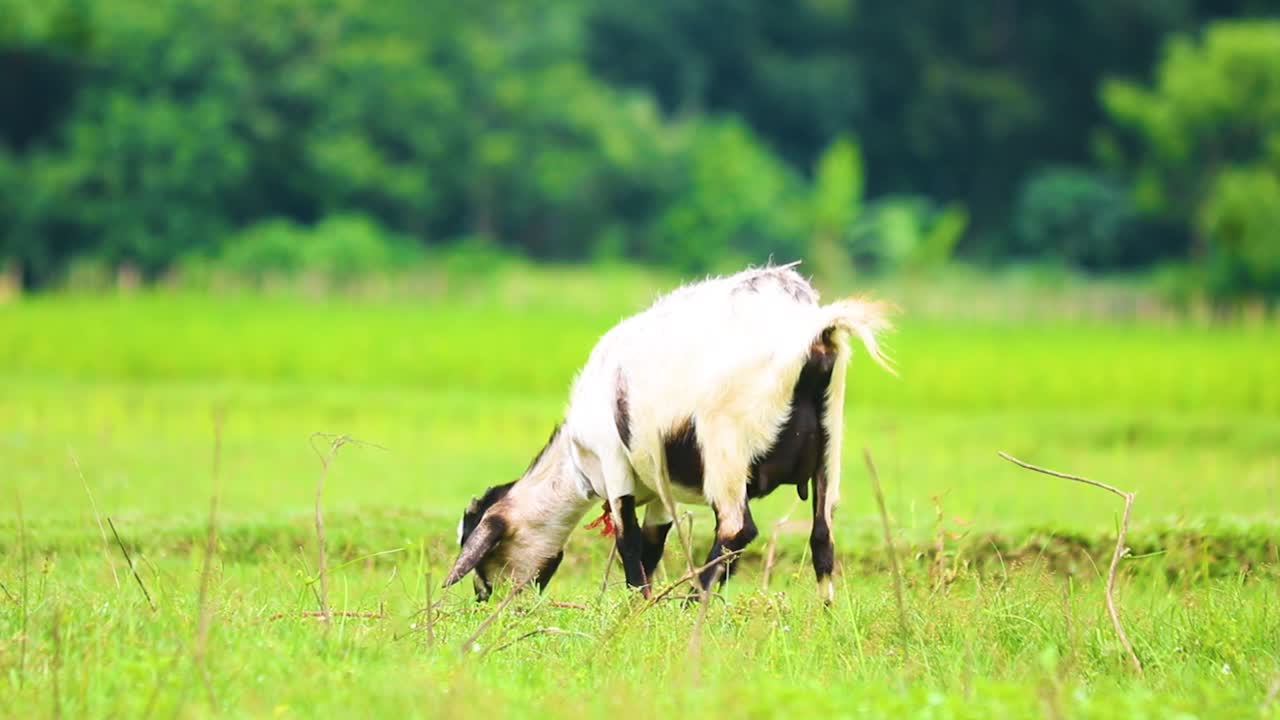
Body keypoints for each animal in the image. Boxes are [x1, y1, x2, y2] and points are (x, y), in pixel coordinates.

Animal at [443, 264, 892, 602]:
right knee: (822, 536)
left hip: (725, 449)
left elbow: (629, 541)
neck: (576, 463)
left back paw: (693, 604)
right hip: (829, 447)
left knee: (736, 529)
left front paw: (638, 605)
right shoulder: (661, 488)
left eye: (486, 555)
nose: (484, 601)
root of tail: (812, 329)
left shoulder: (614, 465)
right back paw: (825, 614)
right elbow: (653, 542)